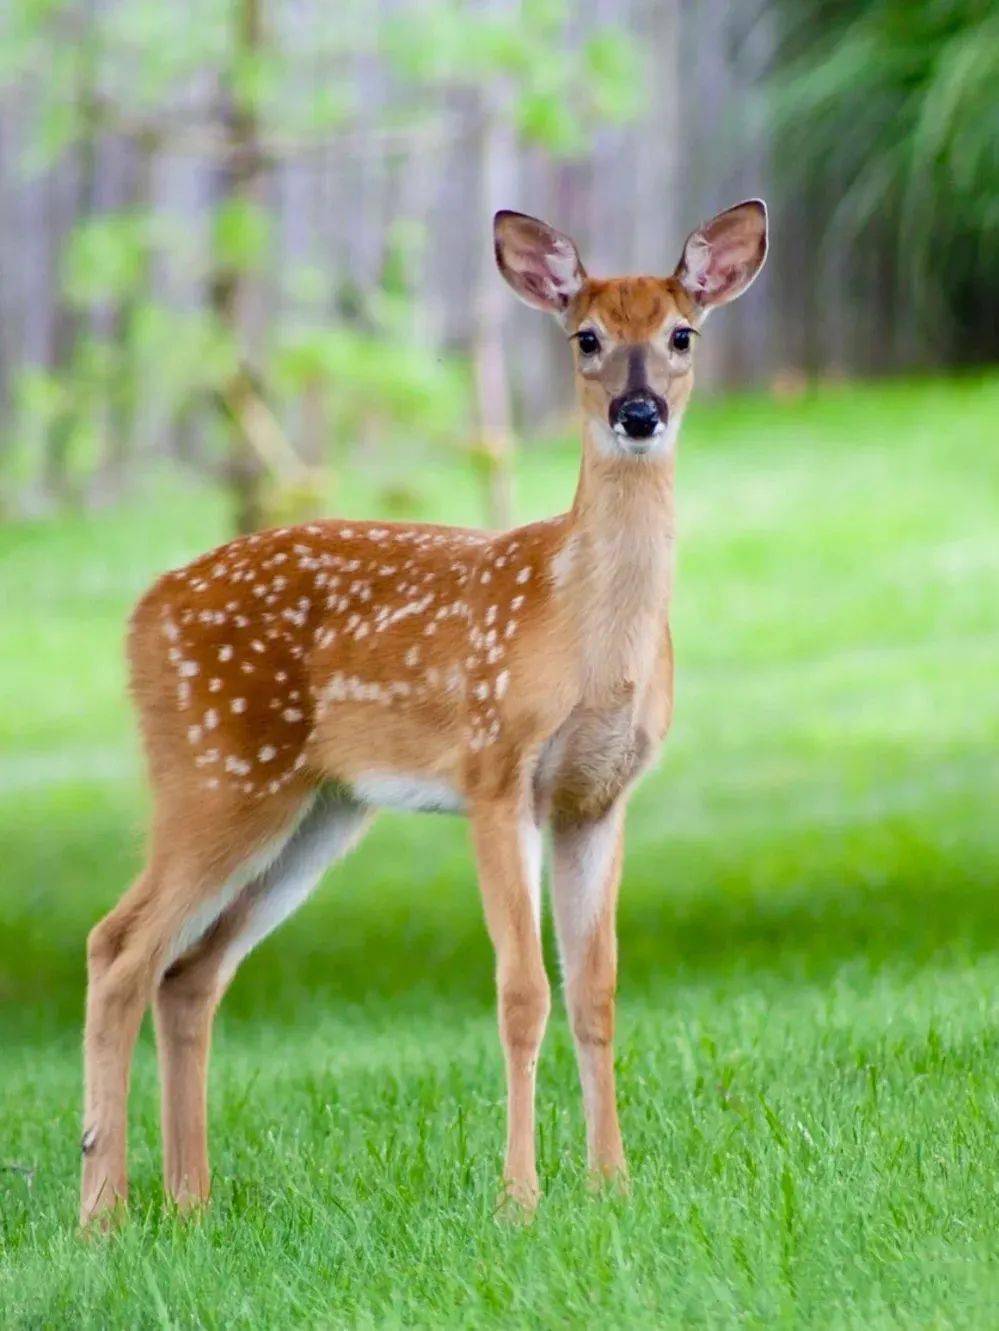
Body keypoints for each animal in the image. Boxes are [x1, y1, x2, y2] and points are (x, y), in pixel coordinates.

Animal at [80, 196, 766, 1224]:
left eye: (681, 334)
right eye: (586, 338)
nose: (636, 412)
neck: (584, 631)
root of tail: (140, 614)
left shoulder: (599, 798)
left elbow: (595, 990)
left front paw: (611, 1182)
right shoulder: (495, 771)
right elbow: (521, 990)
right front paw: (519, 1195)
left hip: (315, 811)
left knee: (190, 970)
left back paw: (190, 1200)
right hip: (214, 770)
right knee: (118, 946)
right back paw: (104, 1213)